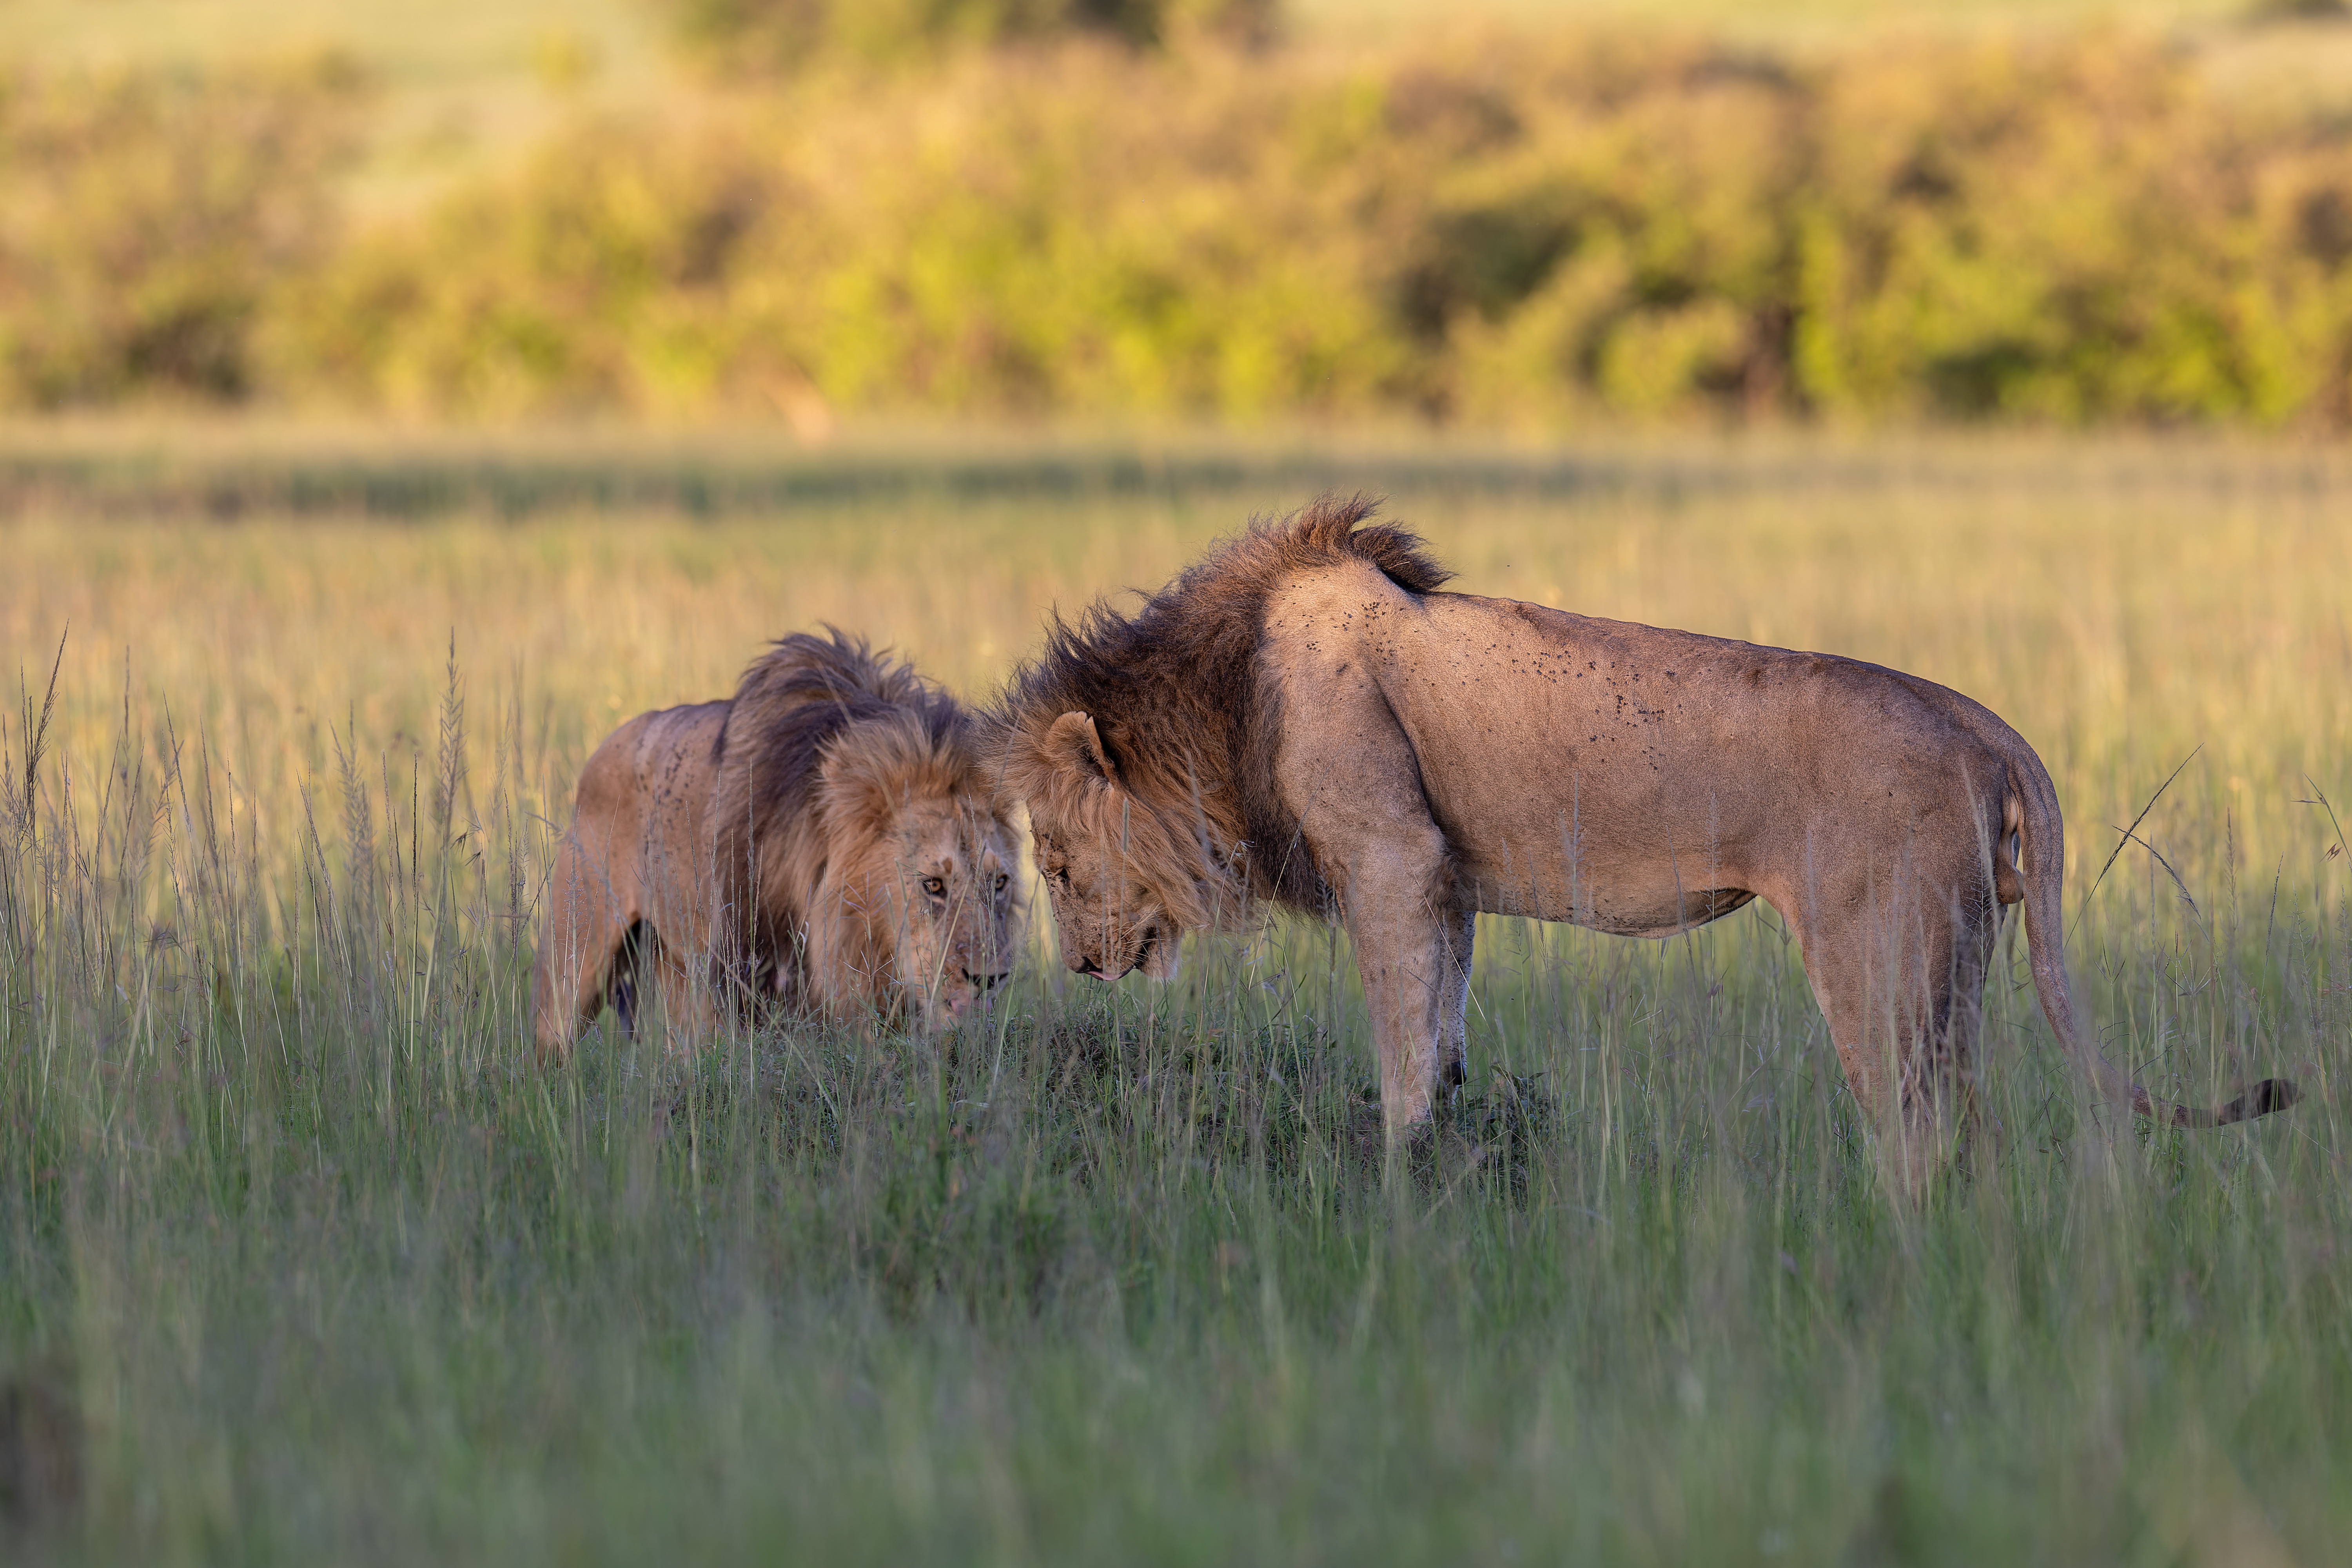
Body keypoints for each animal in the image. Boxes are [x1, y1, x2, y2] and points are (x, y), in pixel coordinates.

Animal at [533, 630, 1021, 1061]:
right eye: (932, 885)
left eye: (999, 883)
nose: (990, 978)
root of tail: (603, 747)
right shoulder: (743, 975)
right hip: (577, 957)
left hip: (675, 965)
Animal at [986, 494, 2296, 1193]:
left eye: (1050, 863)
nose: (1082, 968)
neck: (1224, 690)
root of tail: (1976, 715)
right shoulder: (1442, 877)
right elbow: (1442, 1030)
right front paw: (1453, 1149)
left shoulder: (1390, 855)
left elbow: (1400, 1044)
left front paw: (1399, 1177)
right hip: (1955, 965)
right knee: (1971, 1124)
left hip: (1873, 956)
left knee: (1916, 1131)